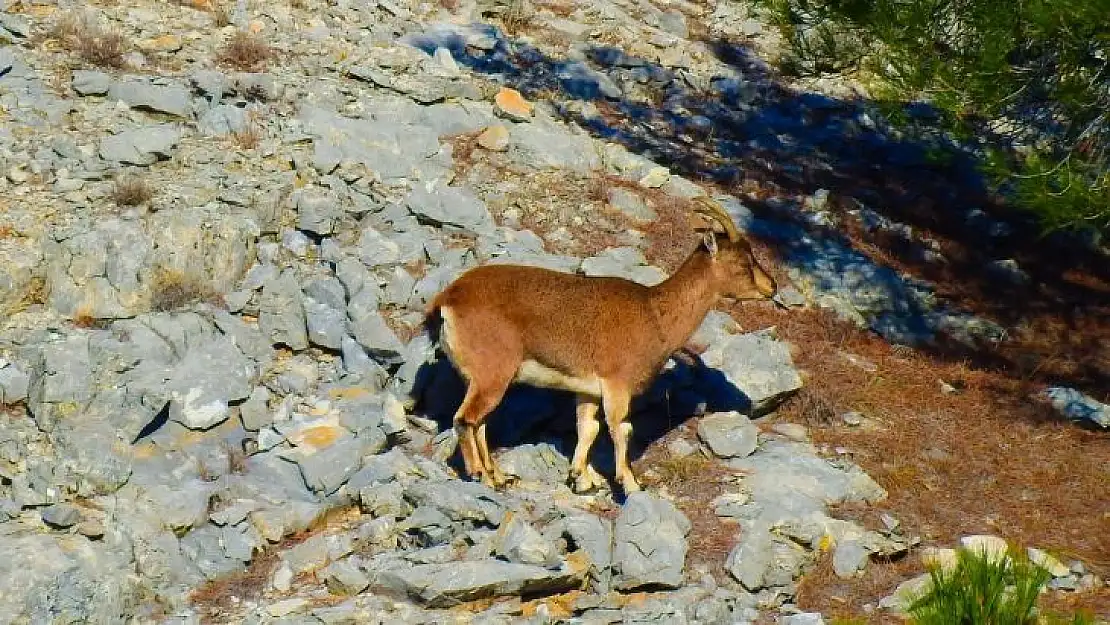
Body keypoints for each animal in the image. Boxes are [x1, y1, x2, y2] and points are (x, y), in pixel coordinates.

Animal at [424, 197, 781, 497]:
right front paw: (631, 483)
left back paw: (499, 475)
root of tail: (447, 301)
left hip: (488, 379)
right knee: (465, 419)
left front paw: (581, 479)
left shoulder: (588, 390)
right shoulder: (616, 385)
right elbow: (621, 429)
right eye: (743, 263)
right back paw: (480, 475)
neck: (655, 315)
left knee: (480, 421)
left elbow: (588, 428)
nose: (772, 286)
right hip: (493, 373)